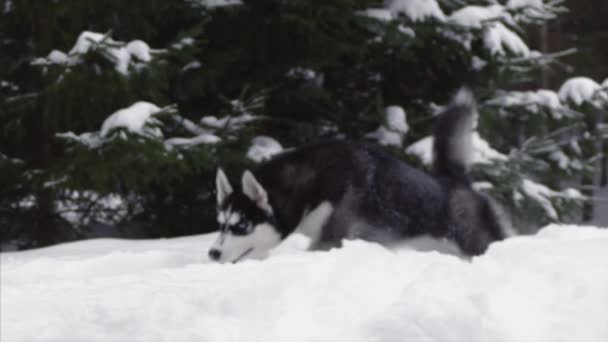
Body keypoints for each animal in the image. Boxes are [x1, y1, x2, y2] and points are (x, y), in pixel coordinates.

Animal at [211, 89, 506, 264]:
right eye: (221, 224)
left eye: (241, 226)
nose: (212, 253)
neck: (313, 185)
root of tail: (457, 182)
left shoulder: (333, 237)